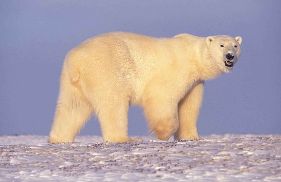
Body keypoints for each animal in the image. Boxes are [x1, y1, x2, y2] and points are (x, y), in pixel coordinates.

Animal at [48, 32, 241, 144]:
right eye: (221, 45)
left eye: (235, 45)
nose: (230, 56)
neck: (193, 56)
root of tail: (77, 61)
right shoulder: (175, 70)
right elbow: (162, 97)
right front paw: (163, 133)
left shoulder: (195, 81)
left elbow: (189, 106)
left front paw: (191, 136)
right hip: (106, 69)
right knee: (114, 105)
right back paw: (123, 138)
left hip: (71, 82)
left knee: (71, 108)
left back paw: (59, 138)